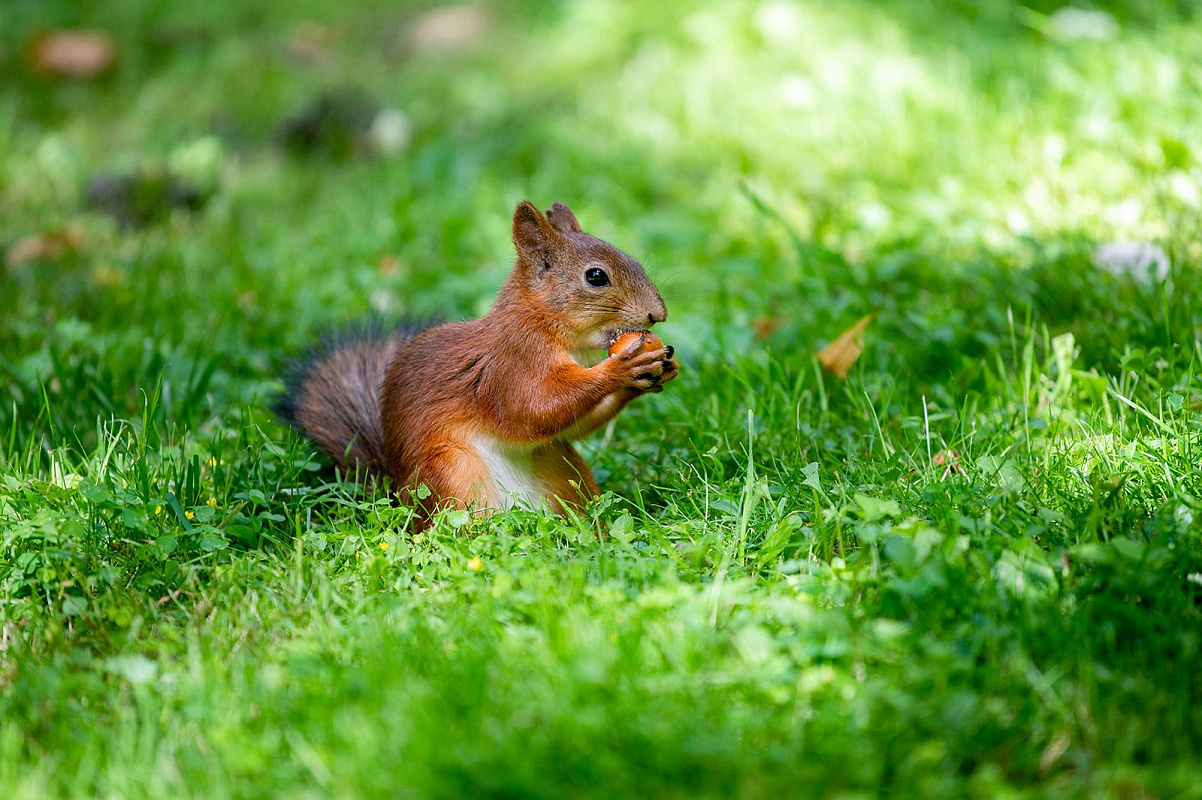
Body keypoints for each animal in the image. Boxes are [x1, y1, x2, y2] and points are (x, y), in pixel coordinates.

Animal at [275, 199, 682, 523]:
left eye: (632, 259)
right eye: (596, 276)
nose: (658, 314)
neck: (541, 322)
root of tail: (397, 500)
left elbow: (567, 426)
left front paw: (654, 373)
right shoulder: (508, 366)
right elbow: (534, 410)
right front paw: (621, 369)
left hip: (561, 468)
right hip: (451, 472)